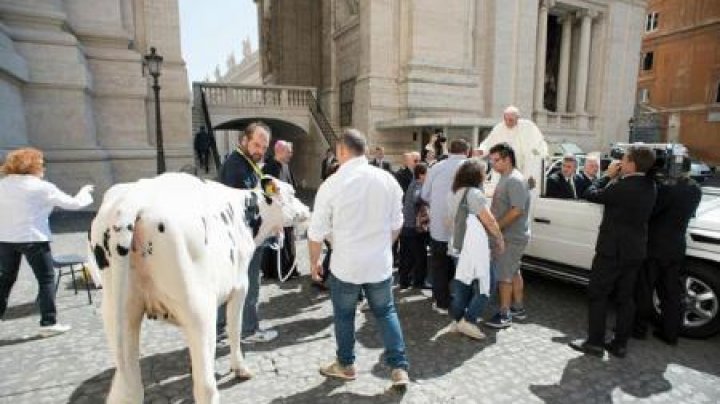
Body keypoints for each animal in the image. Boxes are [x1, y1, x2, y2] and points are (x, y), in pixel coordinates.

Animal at [88, 173, 308, 404]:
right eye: (292, 193)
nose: (308, 209)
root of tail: (133, 202)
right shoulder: (239, 287)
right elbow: (234, 329)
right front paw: (239, 368)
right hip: (199, 310)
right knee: (205, 387)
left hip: (118, 314)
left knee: (127, 390)